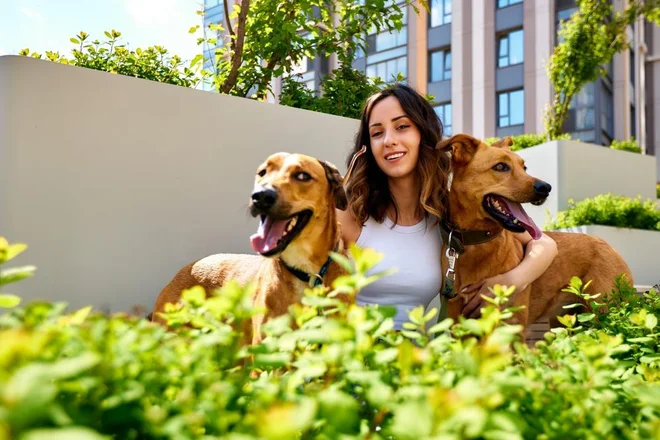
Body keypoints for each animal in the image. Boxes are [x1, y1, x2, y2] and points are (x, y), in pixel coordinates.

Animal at [436, 132, 632, 338]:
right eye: (500, 166)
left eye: (524, 167)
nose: (545, 187)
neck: (476, 244)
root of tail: (605, 243)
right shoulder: (460, 329)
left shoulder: (510, 332)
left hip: (605, 312)